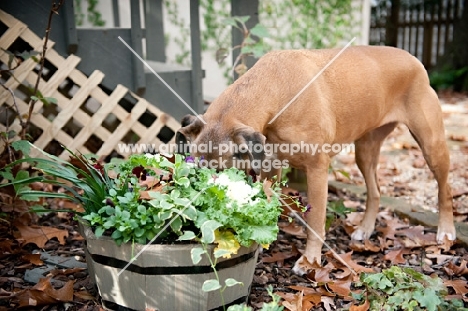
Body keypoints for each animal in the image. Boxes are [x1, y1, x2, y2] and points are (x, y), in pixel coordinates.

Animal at [174, 46, 456, 276]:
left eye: (224, 175)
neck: (277, 90)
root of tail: (413, 59)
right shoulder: (270, 169)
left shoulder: (317, 170)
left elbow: (315, 221)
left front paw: (309, 260)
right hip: (365, 150)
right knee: (375, 190)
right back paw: (365, 229)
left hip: (431, 146)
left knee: (445, 188)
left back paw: (446, 230)